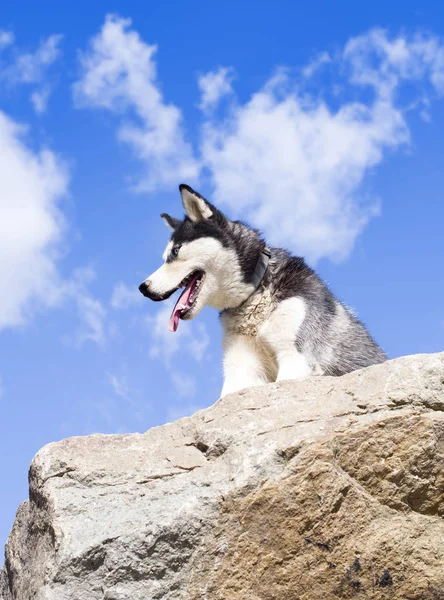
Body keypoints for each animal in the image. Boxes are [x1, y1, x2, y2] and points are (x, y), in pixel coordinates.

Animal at [139, 183, 386, 398]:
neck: (256, 293)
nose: (143, 288)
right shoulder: (240, 371)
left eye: (175, 252)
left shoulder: (296, 359)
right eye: (165, 256)